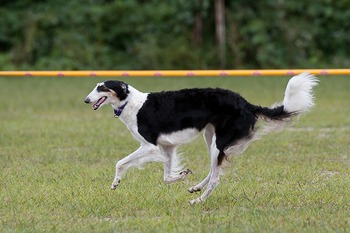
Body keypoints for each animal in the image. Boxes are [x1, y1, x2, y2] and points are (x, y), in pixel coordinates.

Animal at [84, 73, 318, 204]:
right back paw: (195, 187)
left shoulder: (150, 146)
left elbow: (120, 162)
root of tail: (246, 103)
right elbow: (167, 177)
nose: (86, 100)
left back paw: (198, 200)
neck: (131, 103)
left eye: (102, 87)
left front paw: (115, 182)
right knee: (213, 171)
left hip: (218, 142)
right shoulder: (167, 147)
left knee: (215, 178)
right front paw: (182, 175)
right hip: (210, 137)